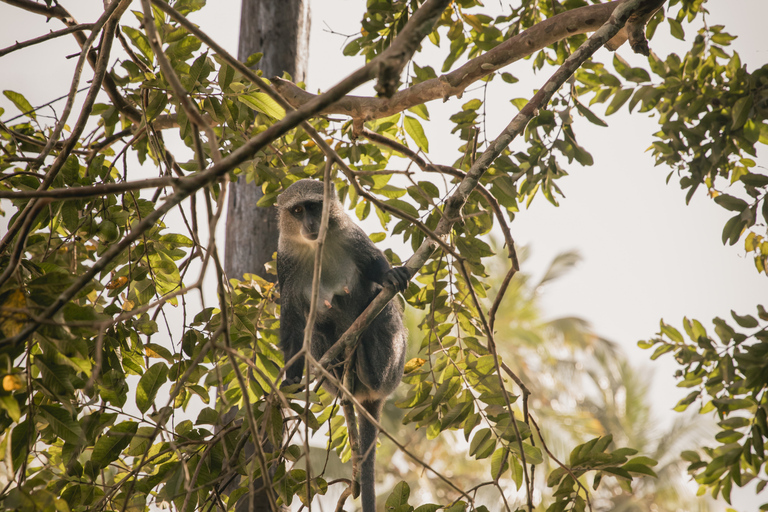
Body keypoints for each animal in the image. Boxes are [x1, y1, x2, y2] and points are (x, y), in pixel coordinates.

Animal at [276, 178, 410, 512]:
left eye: (314, 207)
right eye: (297, 211)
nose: (311, 224)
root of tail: (373, 395)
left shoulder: (351, 235)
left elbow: (374, 265)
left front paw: (389, 273)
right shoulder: (286, 265)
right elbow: (295, 324)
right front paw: (292, 377)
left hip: (393, 363)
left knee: (381, 302)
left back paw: (366, 365)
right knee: (317, 327)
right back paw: (341, 367)